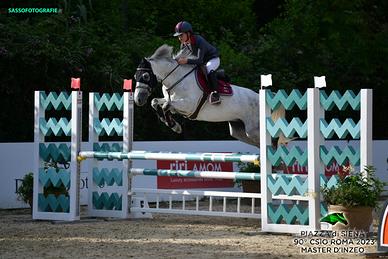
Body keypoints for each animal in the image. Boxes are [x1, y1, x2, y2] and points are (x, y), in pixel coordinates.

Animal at [134, 44, 284, 148]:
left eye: (145, 76)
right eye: (135, 77)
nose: (138, 99)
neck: (176, 78)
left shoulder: (188, 105)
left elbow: (166, 105)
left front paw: (174, 126)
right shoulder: (172, 100)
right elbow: (156, 102)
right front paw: (171, 123)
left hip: (254, 130)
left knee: (272, 143)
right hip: (240, 132)